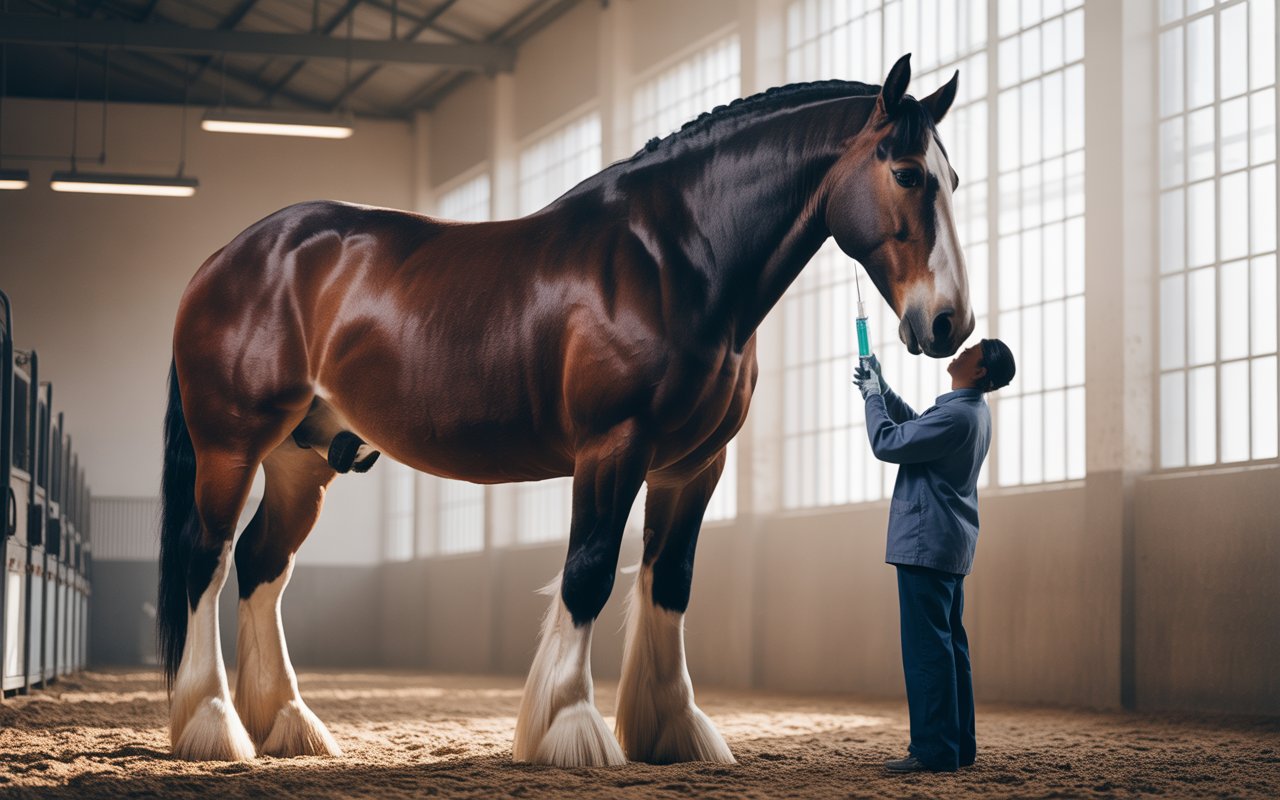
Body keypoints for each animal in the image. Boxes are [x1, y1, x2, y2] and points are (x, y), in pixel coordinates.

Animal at [158, 53, 973, 766]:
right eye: (906, 173)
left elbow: (669, 581)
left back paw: (286, 725)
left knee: (261, 564)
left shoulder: (693, 466)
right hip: (232, 446)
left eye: (955, 177)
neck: (674, 261)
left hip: (301, 459)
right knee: (208, 557)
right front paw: (570, 729)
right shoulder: (613, 448)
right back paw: (213, 726)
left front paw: (671, 729)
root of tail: (228, 257)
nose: (948, 324)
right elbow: (589, 570)